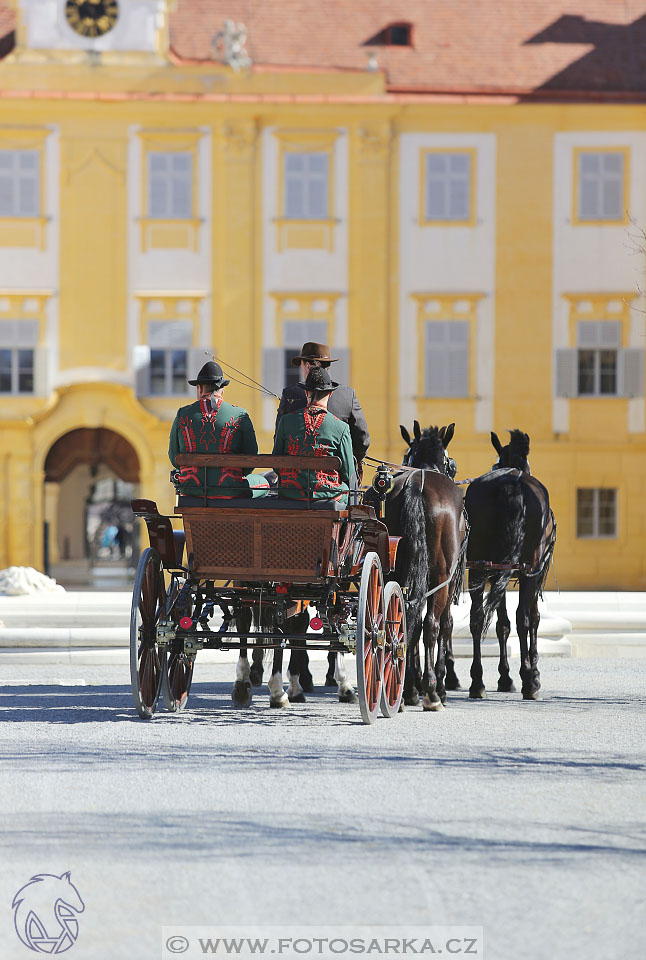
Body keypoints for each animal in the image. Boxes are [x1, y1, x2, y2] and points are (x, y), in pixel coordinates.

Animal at [372, 424, 468, 708]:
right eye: (451, 464)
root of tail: (417, 483)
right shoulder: (448, 579)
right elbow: (445, 624)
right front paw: (439, 684)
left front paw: (410, 684)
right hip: (440, 575)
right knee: (431, 625)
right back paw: (432, 691)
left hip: (396, 568)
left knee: (404, 616)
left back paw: (408, 689)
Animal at [466, 432, 556, 700]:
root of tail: (512, 483)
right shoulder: (533, 572)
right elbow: (532, 618)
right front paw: (532, 672)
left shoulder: (498, 573)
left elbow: (501, 624)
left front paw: (504, 677)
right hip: (529, 569)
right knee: (523, 618)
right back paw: (529, 682)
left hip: (478, 567)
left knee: (477, 618)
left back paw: (477, 682)